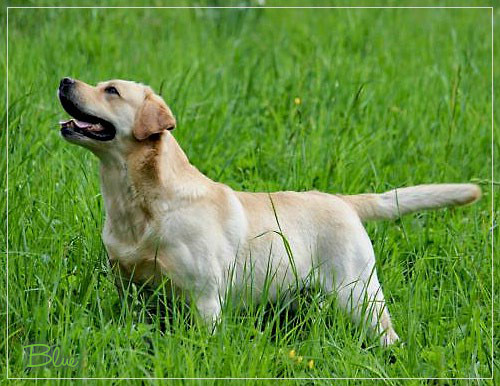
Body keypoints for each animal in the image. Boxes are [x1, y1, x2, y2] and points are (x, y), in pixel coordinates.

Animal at [57, 77, 480, 346]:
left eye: (111, 90)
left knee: (388, 335)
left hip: (359, 294)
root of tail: (343, 200)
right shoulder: (130, 288)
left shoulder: (206, 299)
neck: (140, 203)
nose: (63, 80)